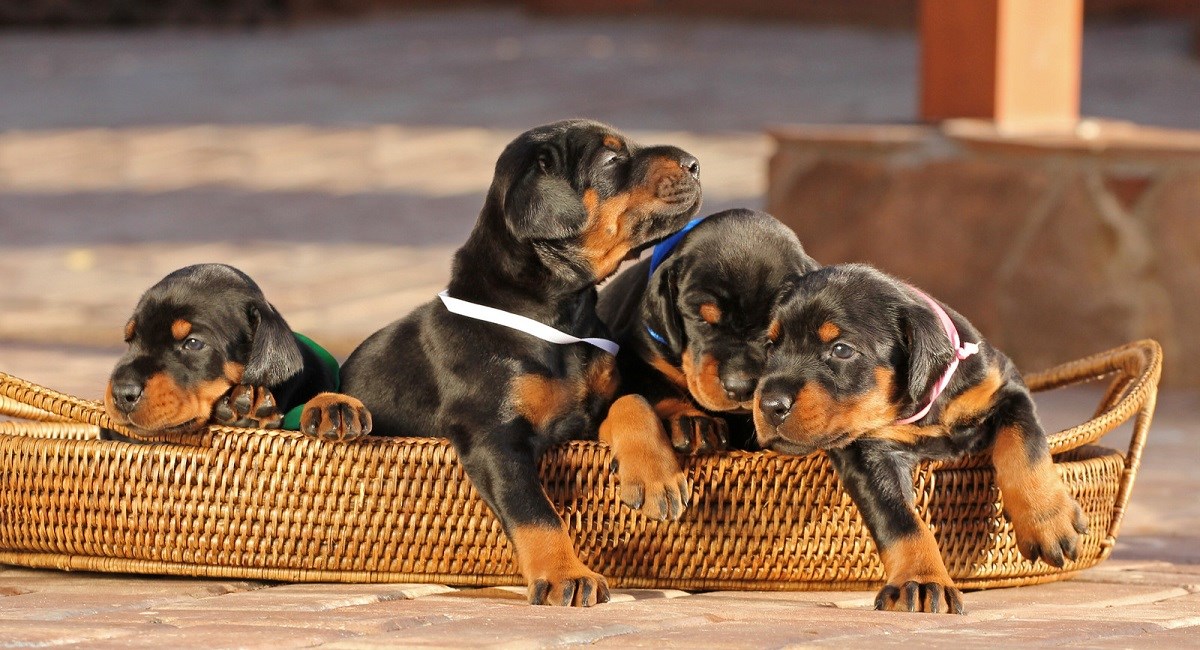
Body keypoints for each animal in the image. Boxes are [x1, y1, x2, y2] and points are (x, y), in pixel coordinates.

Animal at [338, 119, 700, 609]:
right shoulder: (493, 438)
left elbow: (634, 403)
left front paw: (657, 477)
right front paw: (567, 575)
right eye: (610, 159)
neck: (556, 319)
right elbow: (533, 510)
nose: (695, 163)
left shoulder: (586, 414)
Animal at [597, 209, 820, 470]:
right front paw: (690, 420)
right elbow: (656, 387)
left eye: (775, 328)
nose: (740, 388)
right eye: (701, 319)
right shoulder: (632, 355)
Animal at [758, 263, 1089, 618]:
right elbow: (899, 518)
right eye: (771, 345)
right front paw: (920, 580)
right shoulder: (864, 451)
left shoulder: (1006, 388)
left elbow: (1026, 447)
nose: (769, 404)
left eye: (842, 350)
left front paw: (1048, 522)